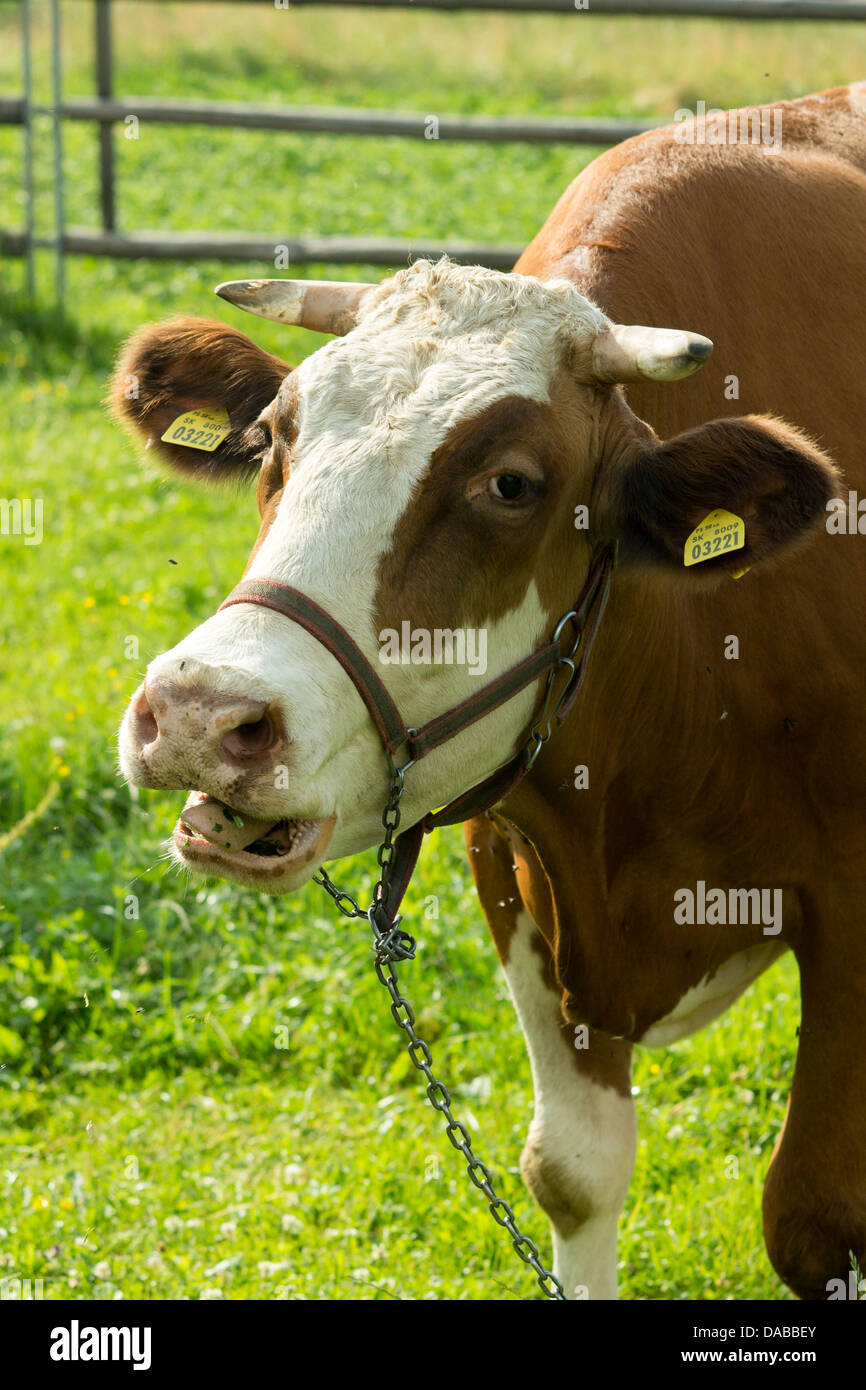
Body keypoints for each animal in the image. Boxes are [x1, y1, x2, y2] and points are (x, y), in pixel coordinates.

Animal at [111, 84, 866, 1301]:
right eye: (271, 437)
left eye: (510, 484)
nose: (197, 713)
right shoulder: (514, 854)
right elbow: (571, 1173)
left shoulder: (850, 902)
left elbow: (817, 1212)